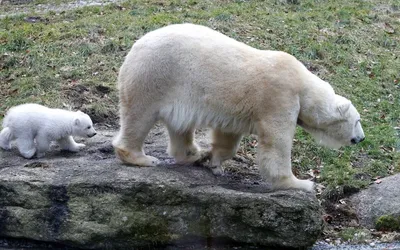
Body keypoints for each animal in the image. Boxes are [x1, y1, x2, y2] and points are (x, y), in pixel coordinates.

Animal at [111, 23, 364, 191]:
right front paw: (301, 183)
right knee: (139, 116)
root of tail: (135, 46)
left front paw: (214, 161)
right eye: (357, 121)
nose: (361, 138)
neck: (302, 84)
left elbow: (228, 136)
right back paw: (141, 158)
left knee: (180, 126)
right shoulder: (279, 97)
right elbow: (277, 142)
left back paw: (195, 155)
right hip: (155, 76)